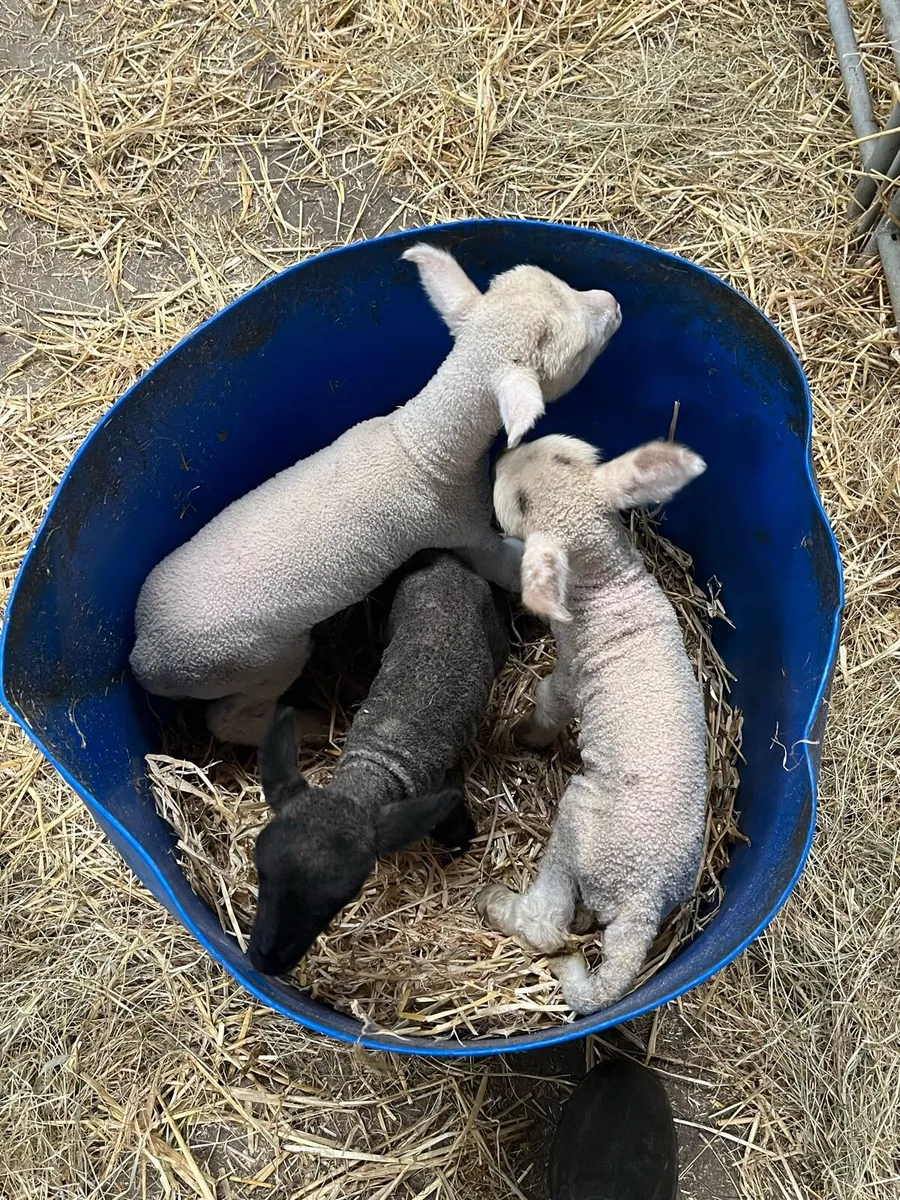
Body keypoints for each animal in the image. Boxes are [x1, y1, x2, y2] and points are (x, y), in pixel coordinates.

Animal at [128, 245, 621, 746]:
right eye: (580, 349)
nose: (614, 301)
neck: (423, 443)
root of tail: (144, 656)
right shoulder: (458, 528)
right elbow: (501, 565)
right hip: (256, 660)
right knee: (227, 718)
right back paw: (305, 725)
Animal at [248, 550, 510, 976]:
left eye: (340, 899)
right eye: (261, 872)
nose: (266, 962)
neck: (373, 765)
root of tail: (447, 562)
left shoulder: (443, 786)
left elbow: (454, 826)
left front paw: (461, 844)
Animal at [475, 435, 708, 1016]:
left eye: (521, 503)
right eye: (561, 453)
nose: (498, 459)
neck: (609, 587)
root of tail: (644, 902)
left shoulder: (570, 675)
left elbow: (546, 704)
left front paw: (522, 736)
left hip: (578, 826)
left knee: (546, 925)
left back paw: (498, 903)